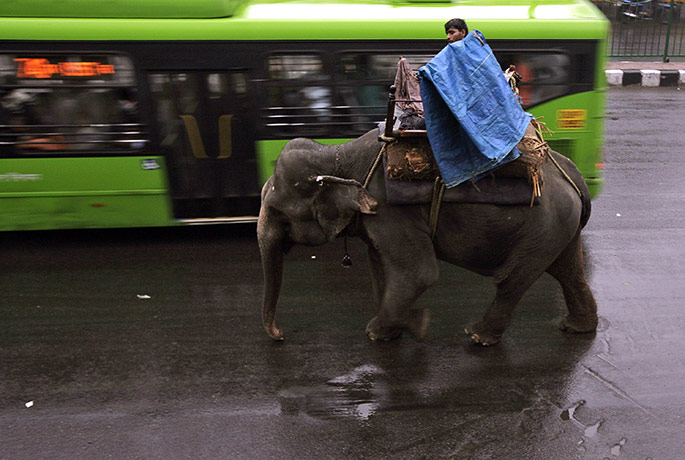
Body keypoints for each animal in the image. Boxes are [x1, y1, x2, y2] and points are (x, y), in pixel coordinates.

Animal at [257, 129, 598, 345]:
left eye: (276, 210)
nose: (280, 335)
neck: (338, 154)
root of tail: (572, 173)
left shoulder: (390, 211)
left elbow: (419, 273)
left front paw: (406, 327)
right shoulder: (378, 218)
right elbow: (380, 268)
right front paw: (392, 331)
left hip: (543, 229)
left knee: (512, 280)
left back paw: (478, 336)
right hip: (557, 230)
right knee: (568, 271)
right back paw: (576, 328)